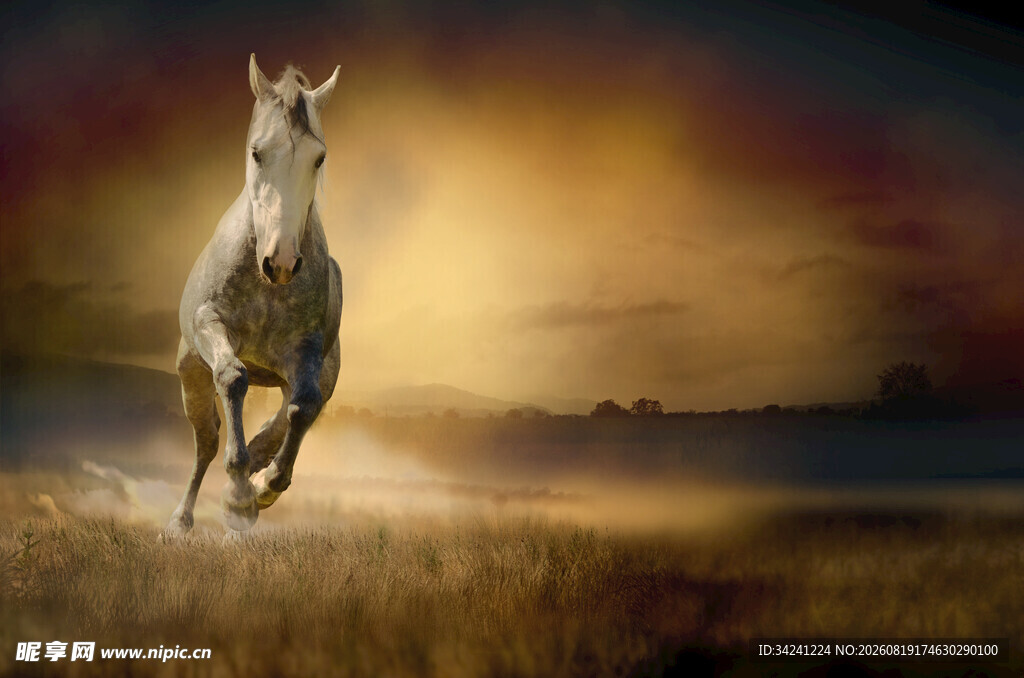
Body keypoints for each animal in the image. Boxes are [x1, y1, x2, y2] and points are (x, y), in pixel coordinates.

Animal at [164, 55, 343, 536]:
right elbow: (233, 377)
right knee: (206, 443)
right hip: (191, 375)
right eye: (257, 152)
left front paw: (262, 487)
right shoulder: (212, 326)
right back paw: (181, 521)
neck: (267, 289)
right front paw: (239, 495)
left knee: (286, 419)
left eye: (319, 158)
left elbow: (304, 406)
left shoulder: (306, 352)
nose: (279, 262)